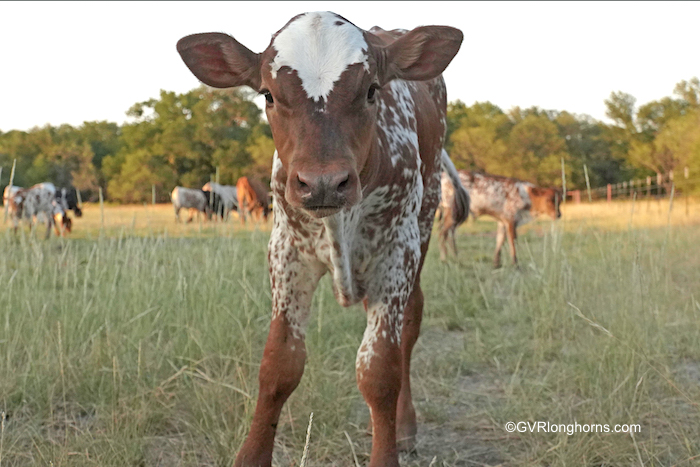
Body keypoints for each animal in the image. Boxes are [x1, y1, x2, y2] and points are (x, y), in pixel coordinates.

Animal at [178, 11, 468, 467]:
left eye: (371, 90)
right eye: (268, 95)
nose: (323, 183)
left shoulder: (395, 253)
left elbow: (380, 370)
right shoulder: (286, 252)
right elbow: (279, 365)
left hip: (422, 227)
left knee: (409, 326)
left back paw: (404, 426)